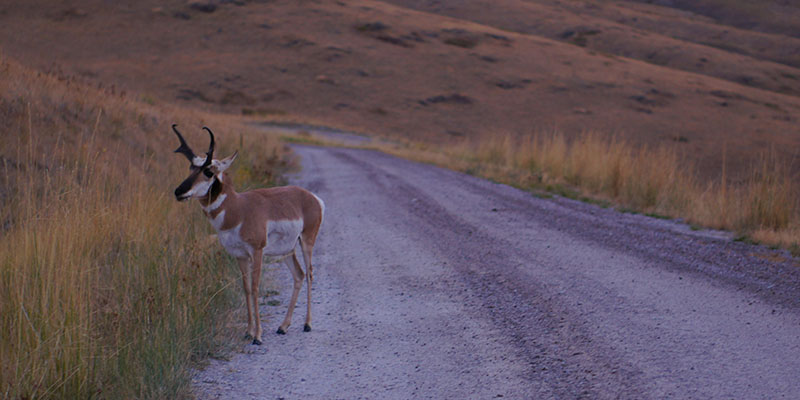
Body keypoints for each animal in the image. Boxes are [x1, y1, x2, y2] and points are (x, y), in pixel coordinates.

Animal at [173, 124, 324, 344]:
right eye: (190, 168)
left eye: (208, 171)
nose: (179, 191)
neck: (239, 208)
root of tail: (312, 198)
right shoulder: (240, 256)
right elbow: (246, 289)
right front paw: (248, 331)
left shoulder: (257, 251)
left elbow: (255, 288)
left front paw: (258, 336)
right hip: (286, 251)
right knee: (299, 275)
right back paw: (283, 327)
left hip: (306, 242)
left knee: (311, 274)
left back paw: (307, 324)